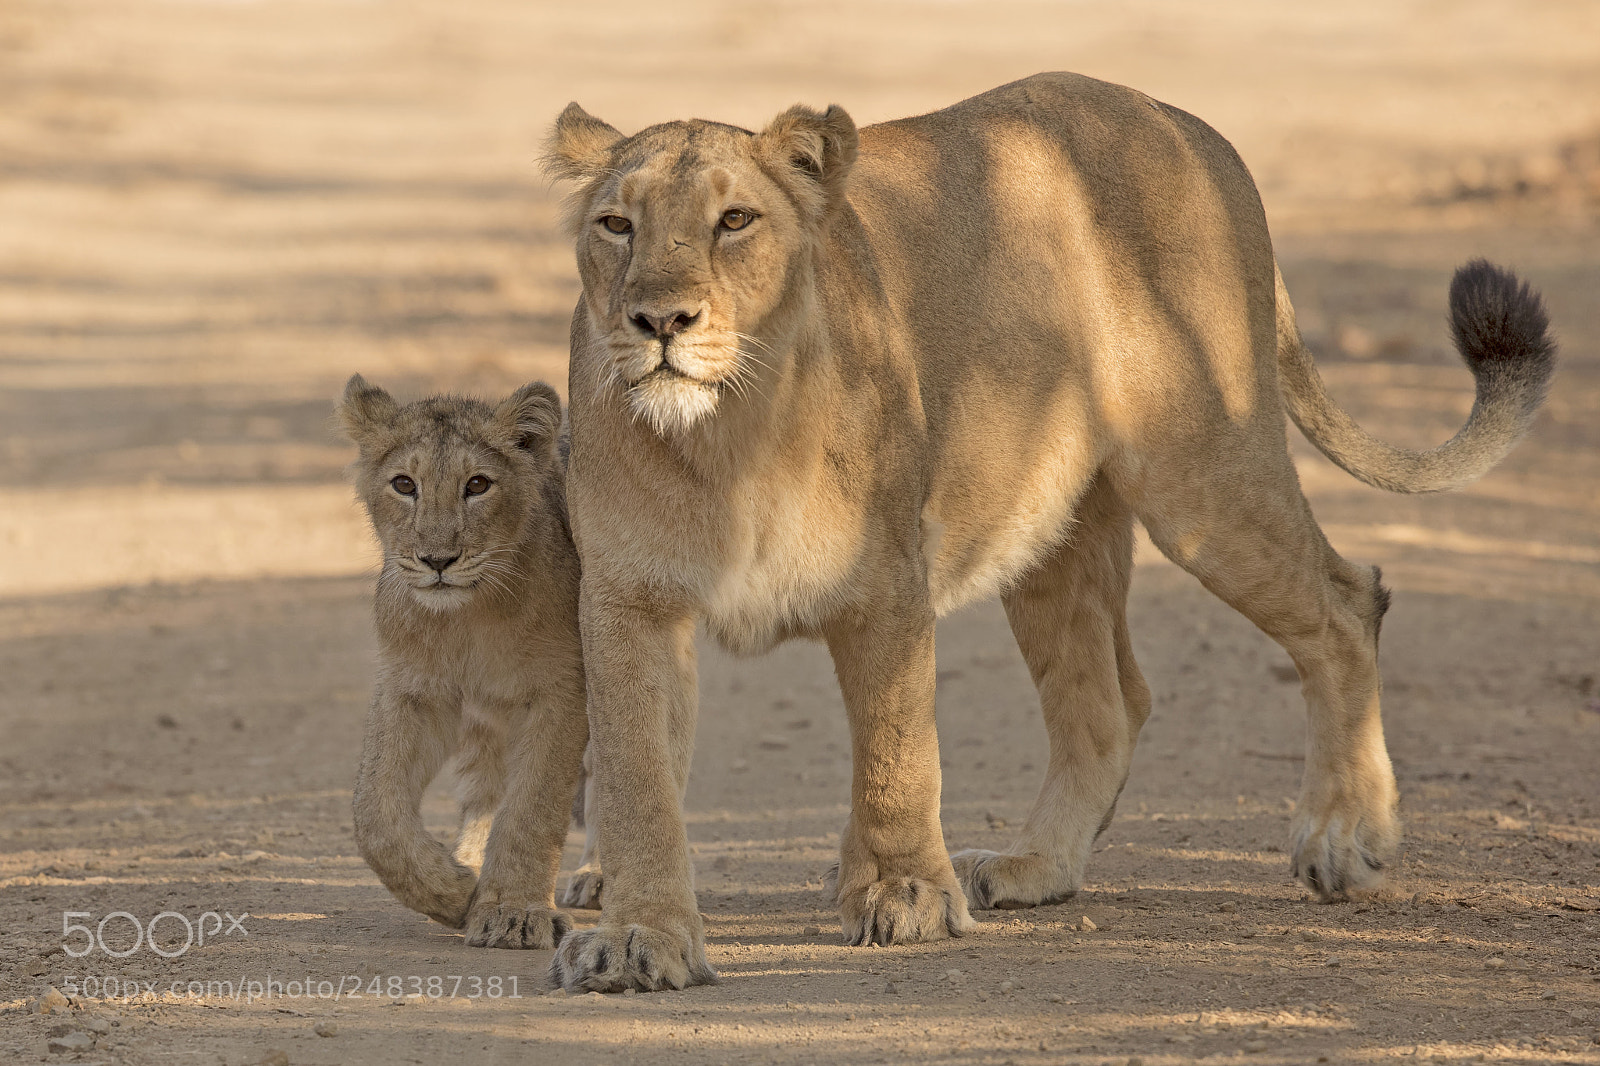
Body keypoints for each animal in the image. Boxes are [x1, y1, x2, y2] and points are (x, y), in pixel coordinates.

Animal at [339, 374, 594, 948]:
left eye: (477, 485)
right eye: (404, 484)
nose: (437, 560)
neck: (466, 619)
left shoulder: (564, 692)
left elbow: (534, 806)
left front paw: (512, 913)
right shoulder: (413, 690)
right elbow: (374, 816)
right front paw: (455, 891)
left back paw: (598, 877)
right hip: (485, 718)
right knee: (485, 790)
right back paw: (471, 862)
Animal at [542, 72, 1556, 992]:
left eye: (736, 221)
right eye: (617, 226)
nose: (660, 320)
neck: (727, 436)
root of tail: (1192, 128)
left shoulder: (886, 585)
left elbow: (897, 752)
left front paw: (906, 896)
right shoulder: (629, 599)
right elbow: (638, 778)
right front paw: (640, 935)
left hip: (1205, 477)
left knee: (1346, 604)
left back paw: (1344, 836)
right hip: (1050, 530)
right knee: (1108, 702)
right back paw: (1038, 866)